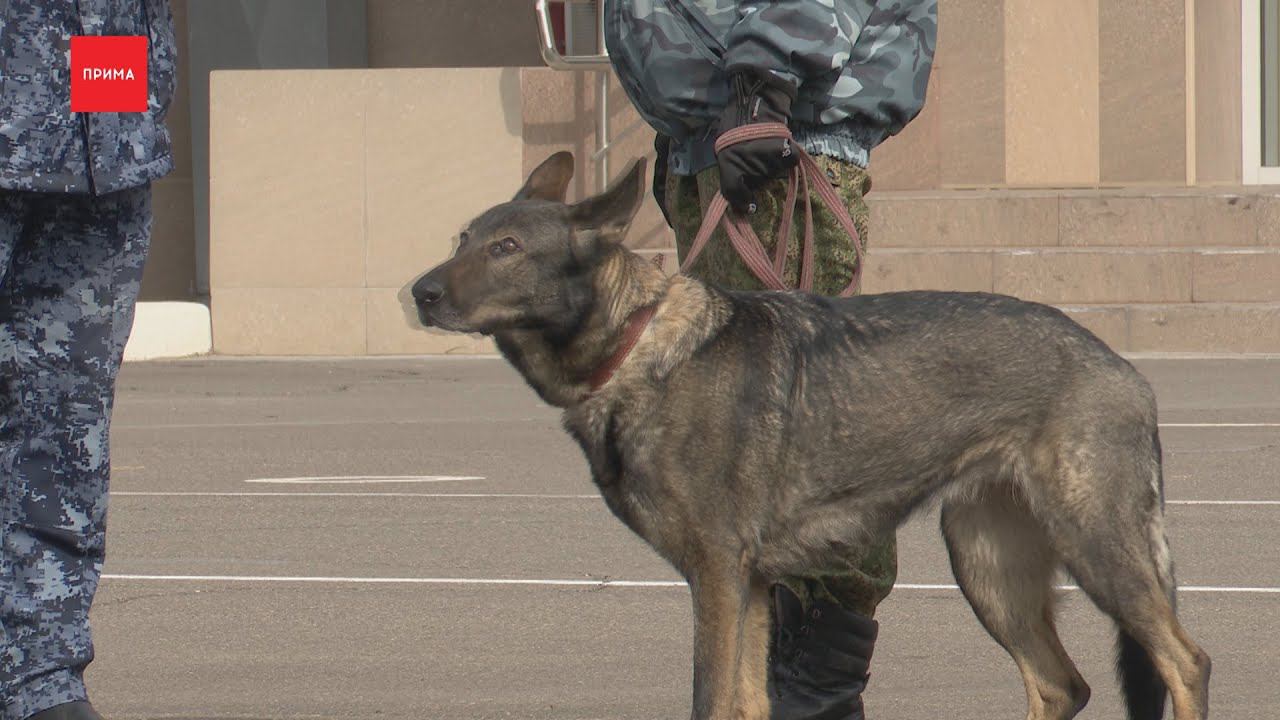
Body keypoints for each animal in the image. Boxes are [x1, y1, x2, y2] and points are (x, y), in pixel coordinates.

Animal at [406, 152, 1211, 720]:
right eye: (462, 239)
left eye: (507, 247)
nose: (418, 291)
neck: (638, 347)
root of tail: (1120, 365)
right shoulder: (753, 590)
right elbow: (746, 703)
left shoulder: (718, 578)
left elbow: (710, 701)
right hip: (988, 568)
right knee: (1059, 686)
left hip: (1096, 550)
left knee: (1185, 662)